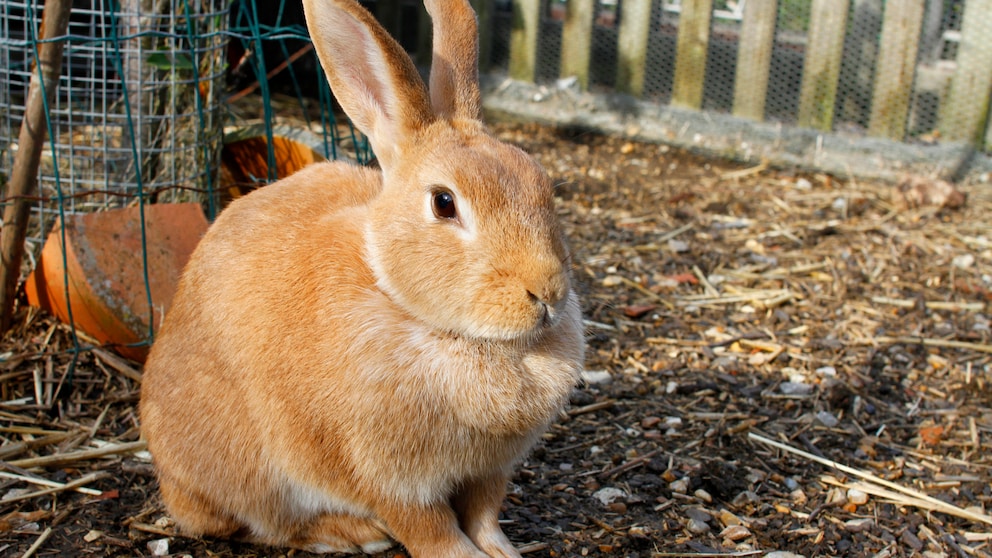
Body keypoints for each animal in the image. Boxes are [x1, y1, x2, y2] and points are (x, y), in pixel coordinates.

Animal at [143, 0, 584, 556]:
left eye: (541, 182)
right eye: (444, 203)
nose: (547, 292)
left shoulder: (490, 472)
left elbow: (485, 515)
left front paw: (503, 551)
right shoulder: (390, 479)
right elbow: (431, 529)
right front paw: (461, 553)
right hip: (249, 476)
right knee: (258, 524)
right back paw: (352, 533)